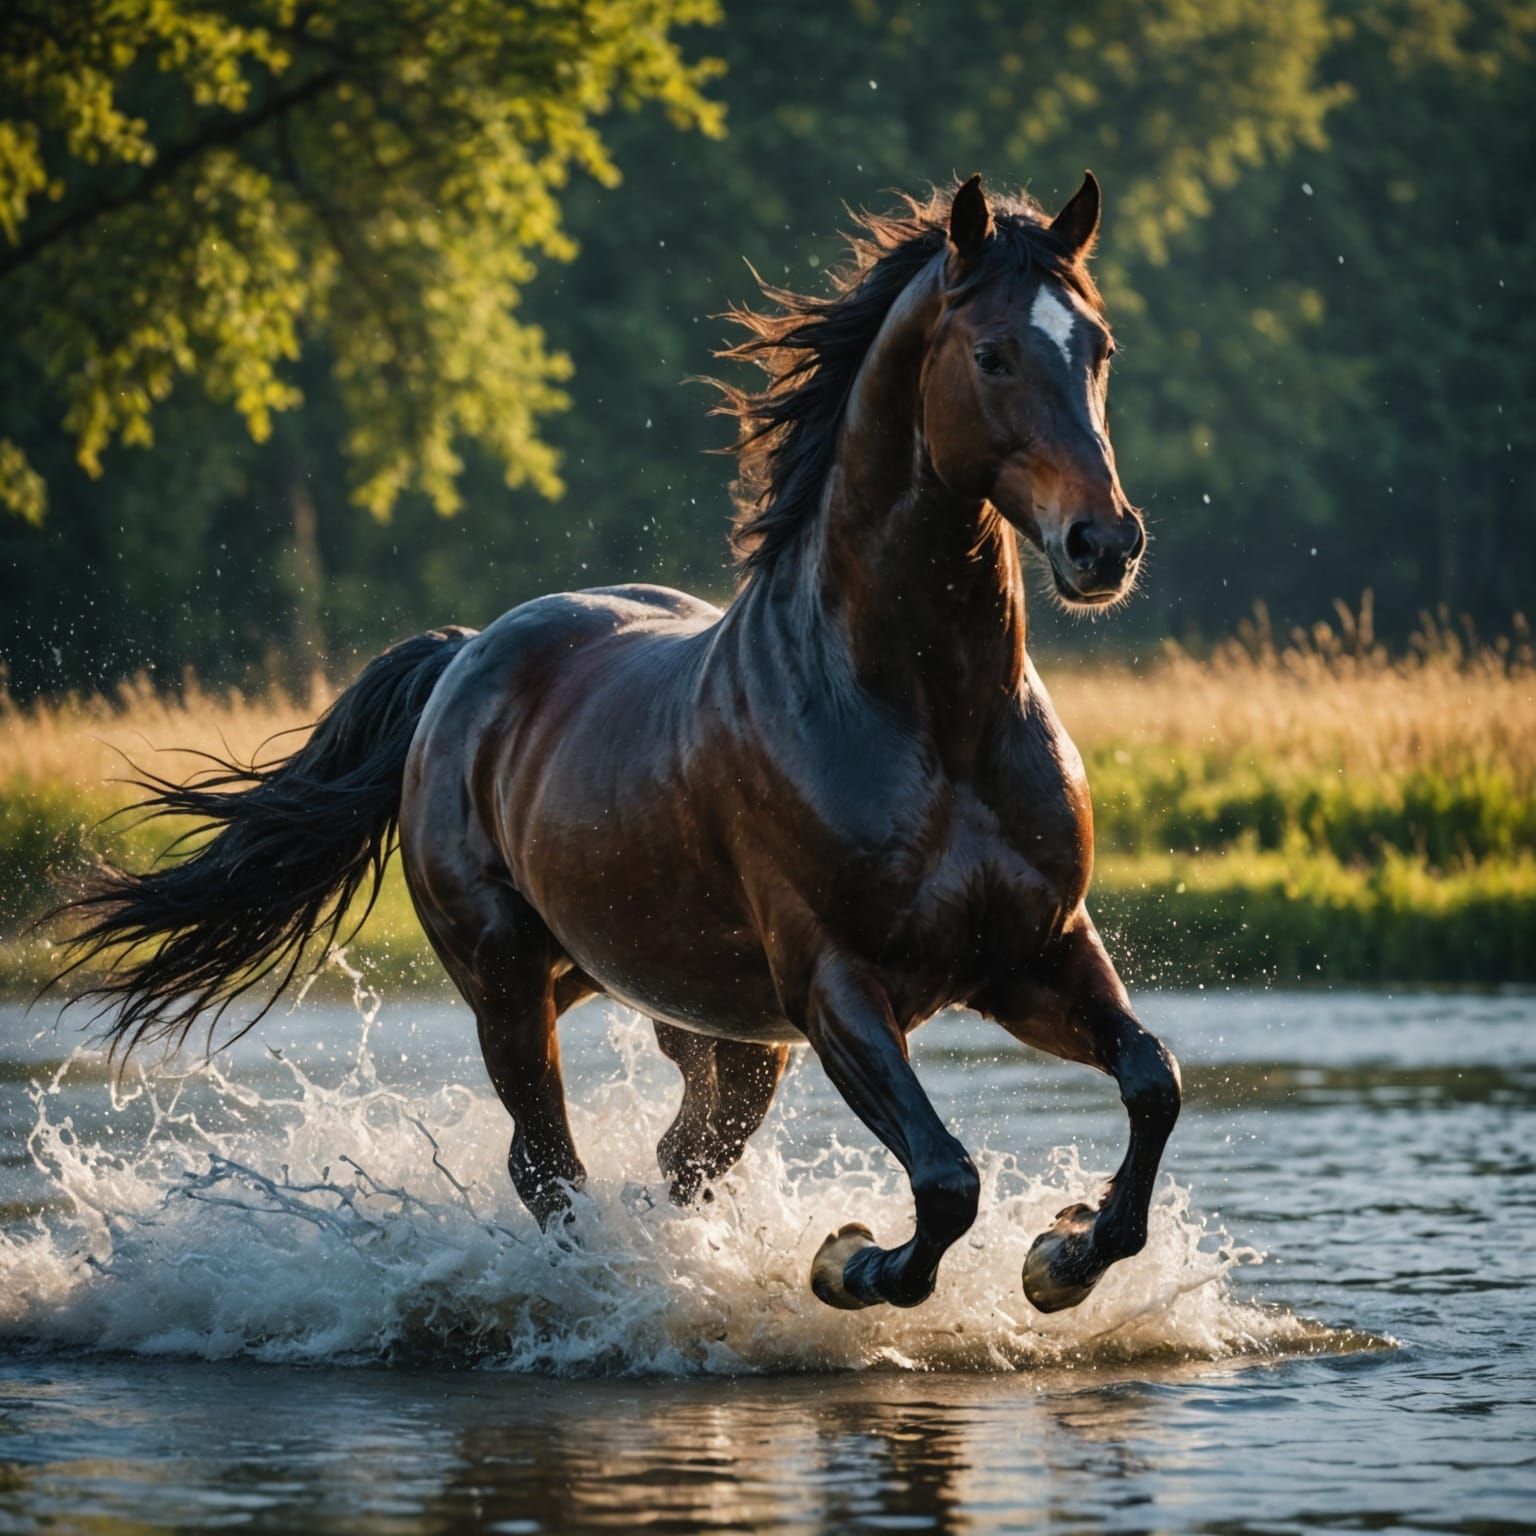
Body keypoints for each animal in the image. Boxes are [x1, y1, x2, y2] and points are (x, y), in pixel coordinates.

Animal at [54, 173, 1180, 1316]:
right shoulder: (838, 987)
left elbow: (1152, 1081)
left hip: (700, 1018)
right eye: (992, 353)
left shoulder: (1035, 951)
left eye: (1097, 347)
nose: (1105, 544)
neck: (928, 719)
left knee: (683, 1156)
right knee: (549, 1167)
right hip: (509, 984)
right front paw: (851, 1260)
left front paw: (1065, 1255)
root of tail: (462, 659)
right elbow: (947, 1179)